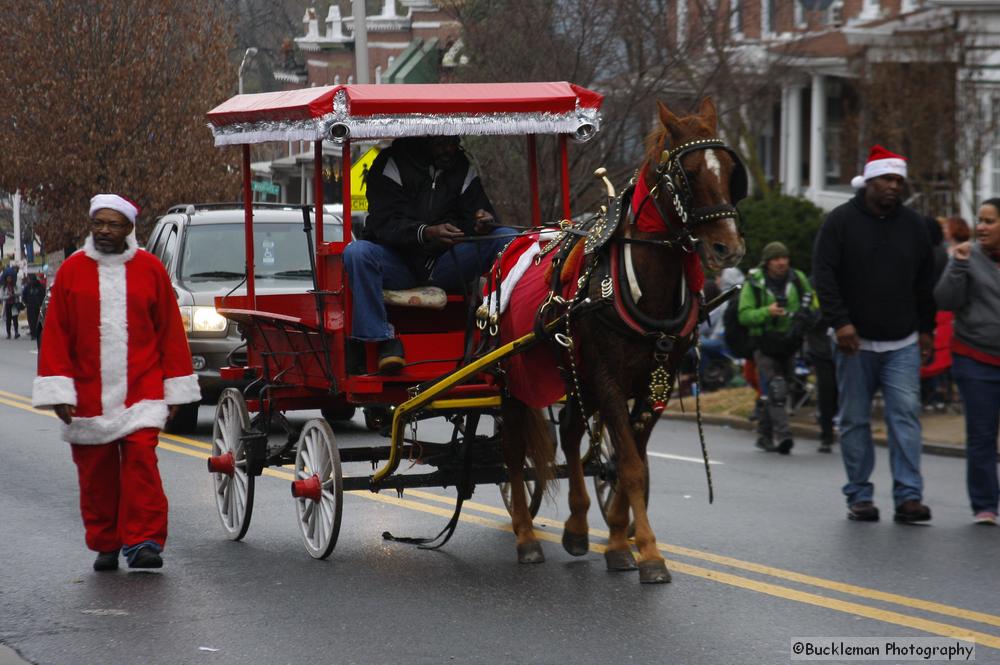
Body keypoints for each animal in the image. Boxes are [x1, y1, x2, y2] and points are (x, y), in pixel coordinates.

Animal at [504, 97, 748, 580]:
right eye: (688, 173)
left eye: (731, 170)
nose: (728, 249)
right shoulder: (610, 380)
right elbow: (632, 465)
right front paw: (649, 553)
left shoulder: (656, 384)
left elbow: (628, 459)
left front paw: (619, 539)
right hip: (515, 380)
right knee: (514, 449)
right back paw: (525, 534)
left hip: (573, 373)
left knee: (571, 432)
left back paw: (578, 527)